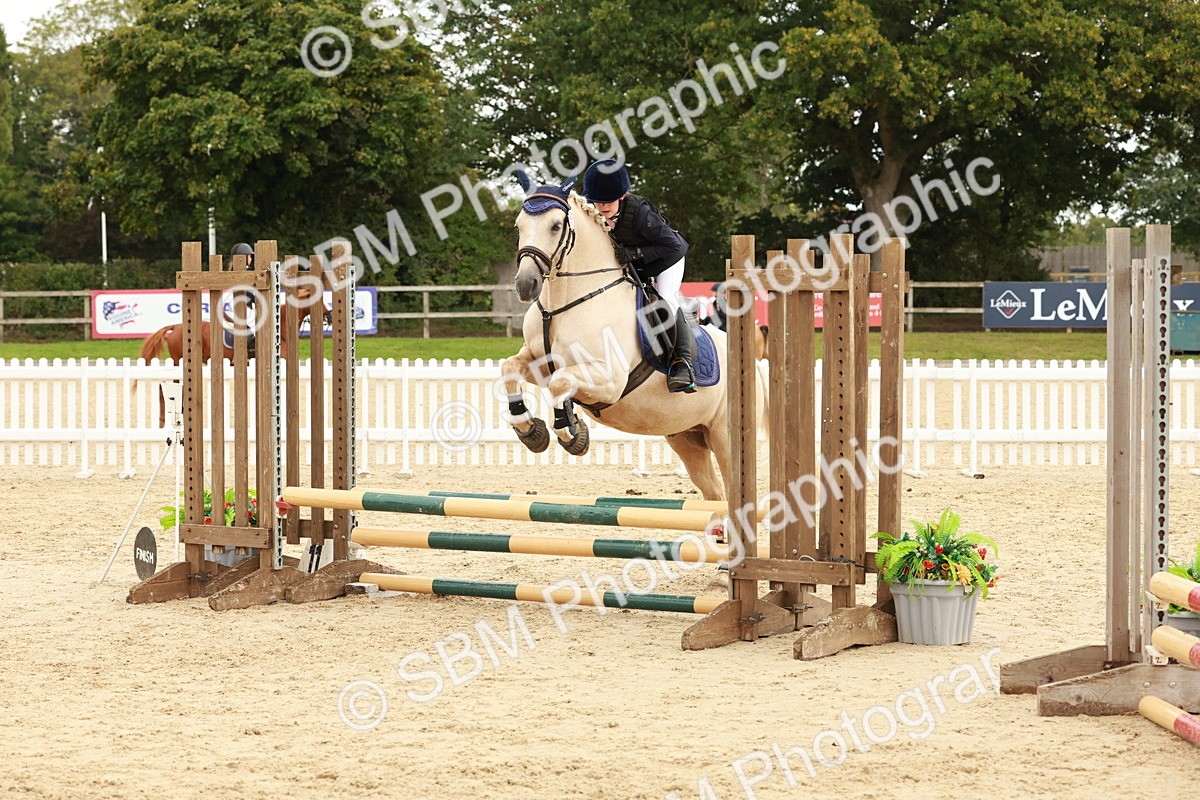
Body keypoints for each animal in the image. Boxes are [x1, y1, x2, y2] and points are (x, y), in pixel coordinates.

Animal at [500, 175, 767, 501]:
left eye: (555, 225)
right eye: (519, 226)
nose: (526, 285)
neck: (565, 304)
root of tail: (753, 366)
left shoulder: (610, 380)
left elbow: (560, 383)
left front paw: (572, 433)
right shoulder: (539, 362)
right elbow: (510, 368)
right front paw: (530, 430)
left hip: (724, 437)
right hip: (687, 435)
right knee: (715, 493)